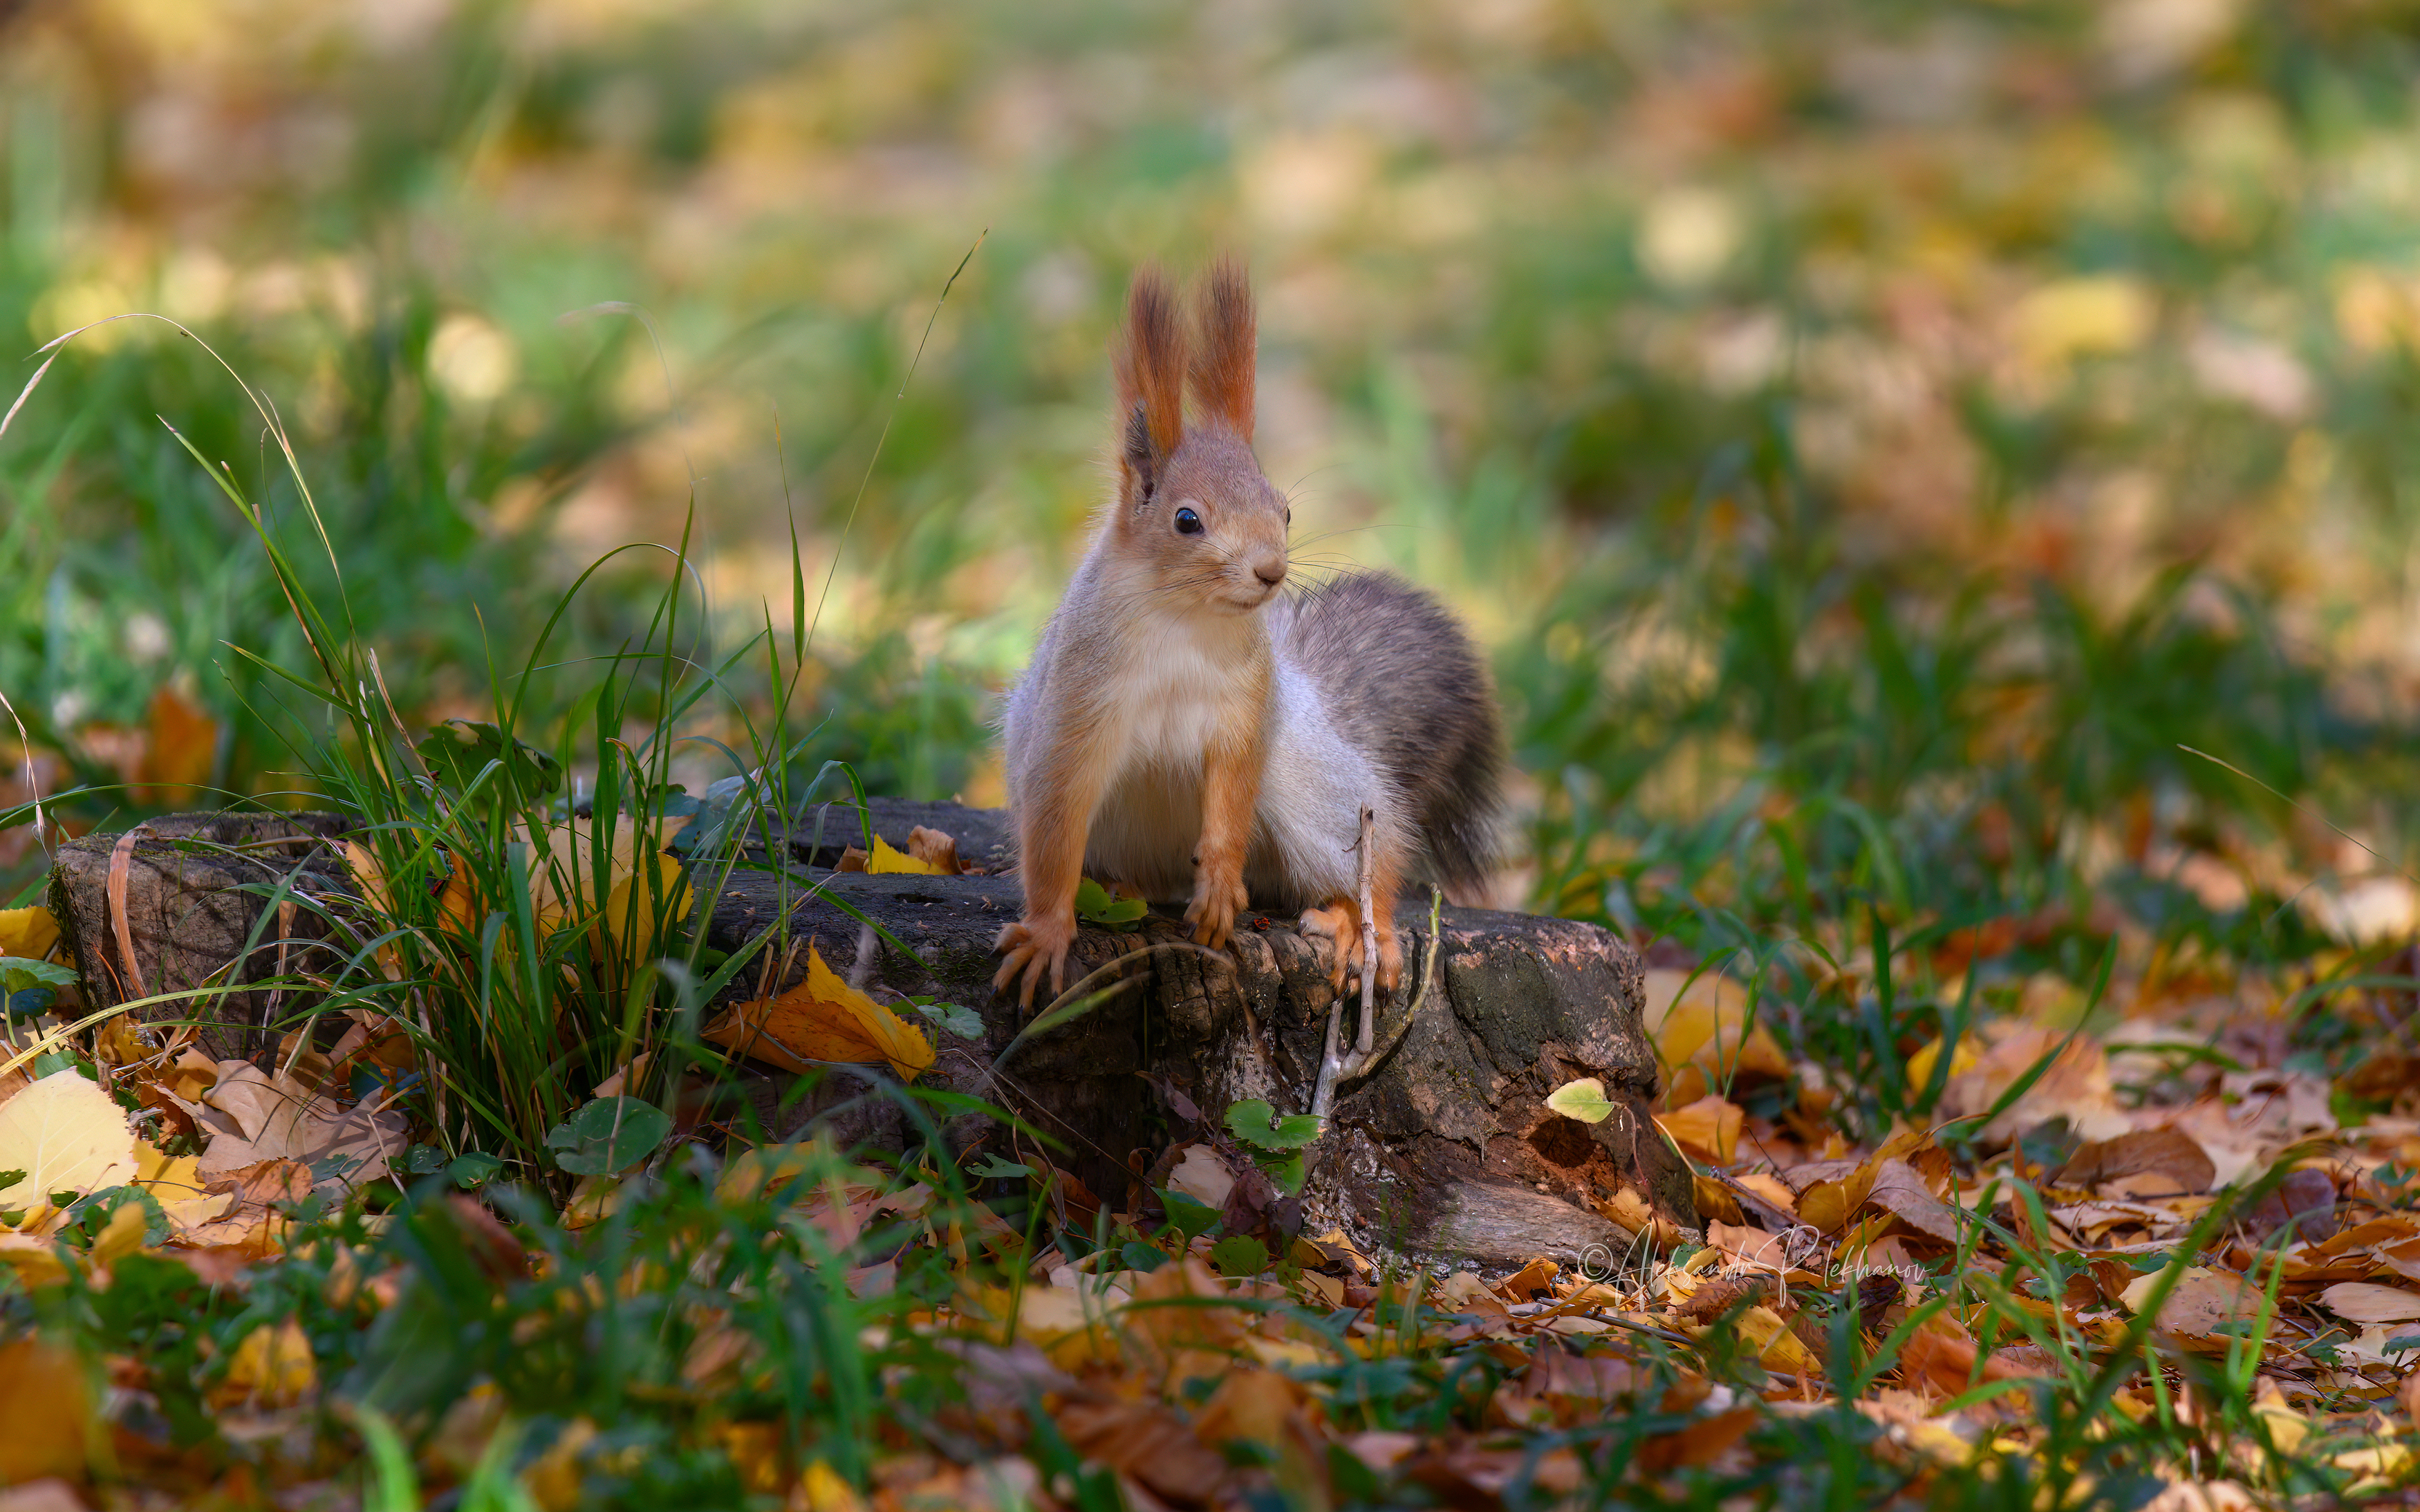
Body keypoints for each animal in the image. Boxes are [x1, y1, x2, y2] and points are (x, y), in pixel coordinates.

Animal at [997, 262, 1500, 1001]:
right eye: (1186, 520)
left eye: (1284, 510)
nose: (1271, 570)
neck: (1187, 621)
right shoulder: (1077, 709)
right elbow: (1056, 829)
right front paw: (1045, 933)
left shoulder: (1246, 705)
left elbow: (1232, 793)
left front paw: (1219, 893)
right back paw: (1120, 887)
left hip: (1306, 774)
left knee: (1377, 858)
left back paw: (1359, 925)